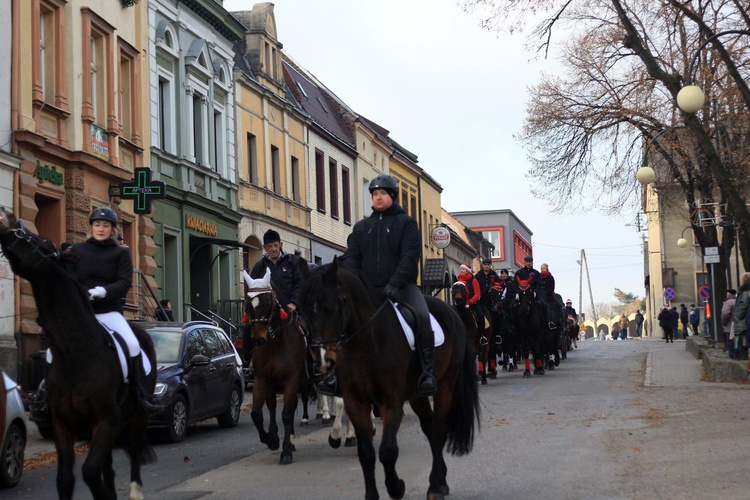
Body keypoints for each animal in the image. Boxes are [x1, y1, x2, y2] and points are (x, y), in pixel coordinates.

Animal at [0, 205, 156, 498]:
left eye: (44, 242)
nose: (8, 216)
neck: (76, 353)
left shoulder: (107, 421)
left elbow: (90, 472)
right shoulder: (63, 425)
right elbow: (66, 479)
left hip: (137, 417)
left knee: (133, 452)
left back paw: (135, 491)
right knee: (109, 467)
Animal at [298, 260, 478, 498]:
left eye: (332, 307)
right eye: (304, 309)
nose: (321, 360)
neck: (365, 343)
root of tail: (452, 313)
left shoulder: (391, 402)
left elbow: (388, 450)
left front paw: (396, 487)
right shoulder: (356, 402)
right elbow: (366, 453)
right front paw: (372, 494)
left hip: (446, 386)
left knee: (439, 430)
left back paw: (434, 487)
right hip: (416, 395)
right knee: (430, 428)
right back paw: (441, 481)